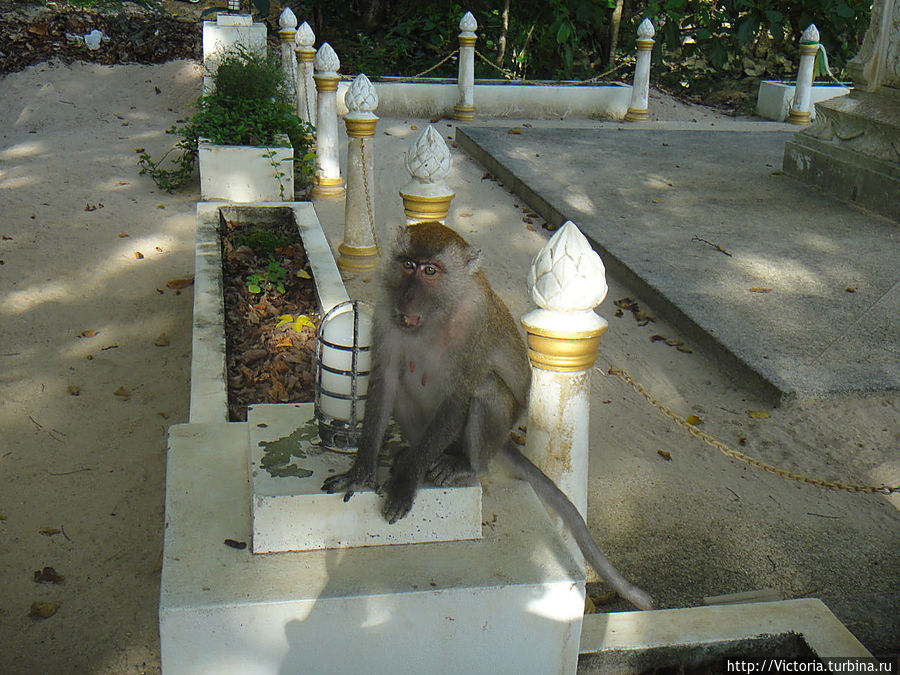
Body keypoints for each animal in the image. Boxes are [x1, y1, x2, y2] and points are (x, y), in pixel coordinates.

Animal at [326, 223, 652, 612]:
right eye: (407, 265)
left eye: (430, 271)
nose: (407, 296)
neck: (437, 314)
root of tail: (504, 440)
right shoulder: (386, 314)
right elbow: (385, 383)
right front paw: (361, 472)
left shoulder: (473, 322)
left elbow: (460, 394)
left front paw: (406, 482)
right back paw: (412, 453)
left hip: (490, 432)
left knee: (485, 388)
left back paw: (463, 464)